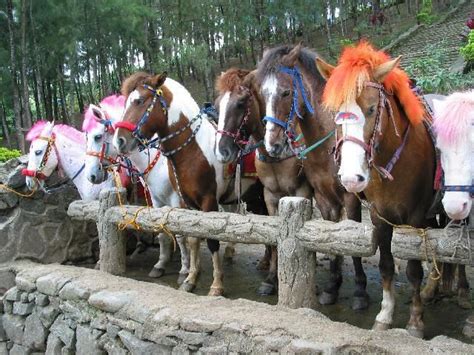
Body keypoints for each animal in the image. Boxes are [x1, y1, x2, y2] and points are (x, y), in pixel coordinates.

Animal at [214, 68, 312, 296]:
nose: (222, 151)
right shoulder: (269, 196)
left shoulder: (301, 192)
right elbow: (274, 235)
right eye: (216, 105)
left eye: (241, 103)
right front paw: (271, 279)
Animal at [256, 44, 370, 312]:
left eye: (286, 92)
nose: (273, 145)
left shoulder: (350, 197)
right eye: (262, 94)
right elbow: (331, 236)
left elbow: (353, 239)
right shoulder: (324, 198)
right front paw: (332, 286)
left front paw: (360, 291)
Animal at [314, 40, 448, 338]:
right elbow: (386, 265)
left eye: (372, 109)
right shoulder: (380, 216)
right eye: (336, 114)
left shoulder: (415, 219)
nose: (351, 178)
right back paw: (433, 289)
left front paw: (415, 322)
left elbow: (413, 268)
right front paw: (385, 315)